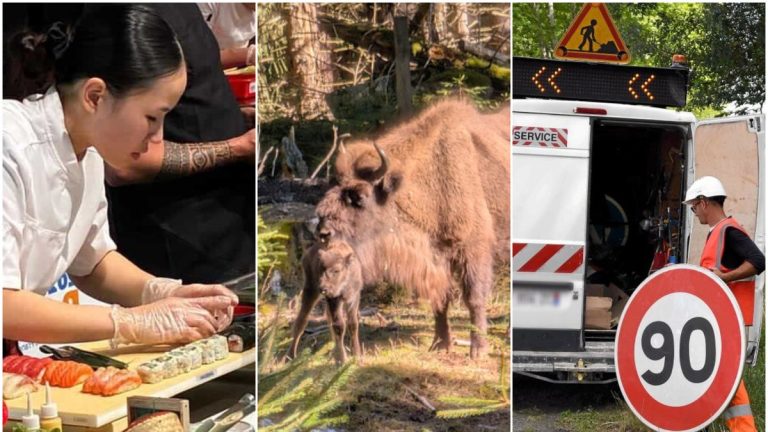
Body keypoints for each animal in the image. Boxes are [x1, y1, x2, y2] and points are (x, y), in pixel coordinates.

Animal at [315, 99, 510, 359]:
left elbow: (474, 298)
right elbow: (441, 299)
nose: (323, 232)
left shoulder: (473, 250)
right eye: (334, 186)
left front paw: (478, 350)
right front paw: (440, 344)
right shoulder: (437, 259)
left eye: (359, 197)